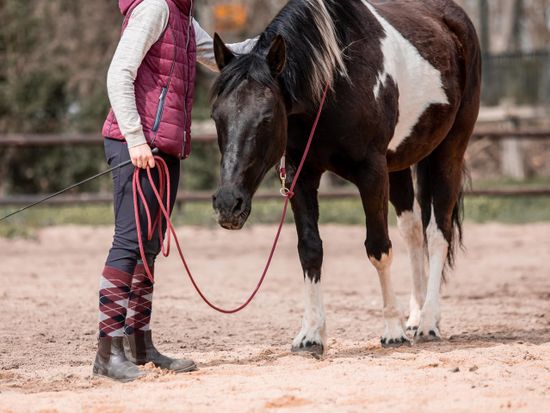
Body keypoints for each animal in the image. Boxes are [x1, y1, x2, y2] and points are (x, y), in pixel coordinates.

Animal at [211, 0, 484, 354]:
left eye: (267, 117)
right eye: (216, 116)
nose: (228, 204)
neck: (334, 81)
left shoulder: (372, 173)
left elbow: (379, 248)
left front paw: (392, 330)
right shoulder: (301, 174)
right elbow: (310, 249)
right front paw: (311, 334)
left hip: (449, 150)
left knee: (438, 233)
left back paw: (428, 322)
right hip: (399, 163)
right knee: (413, 233)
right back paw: (416, 314)